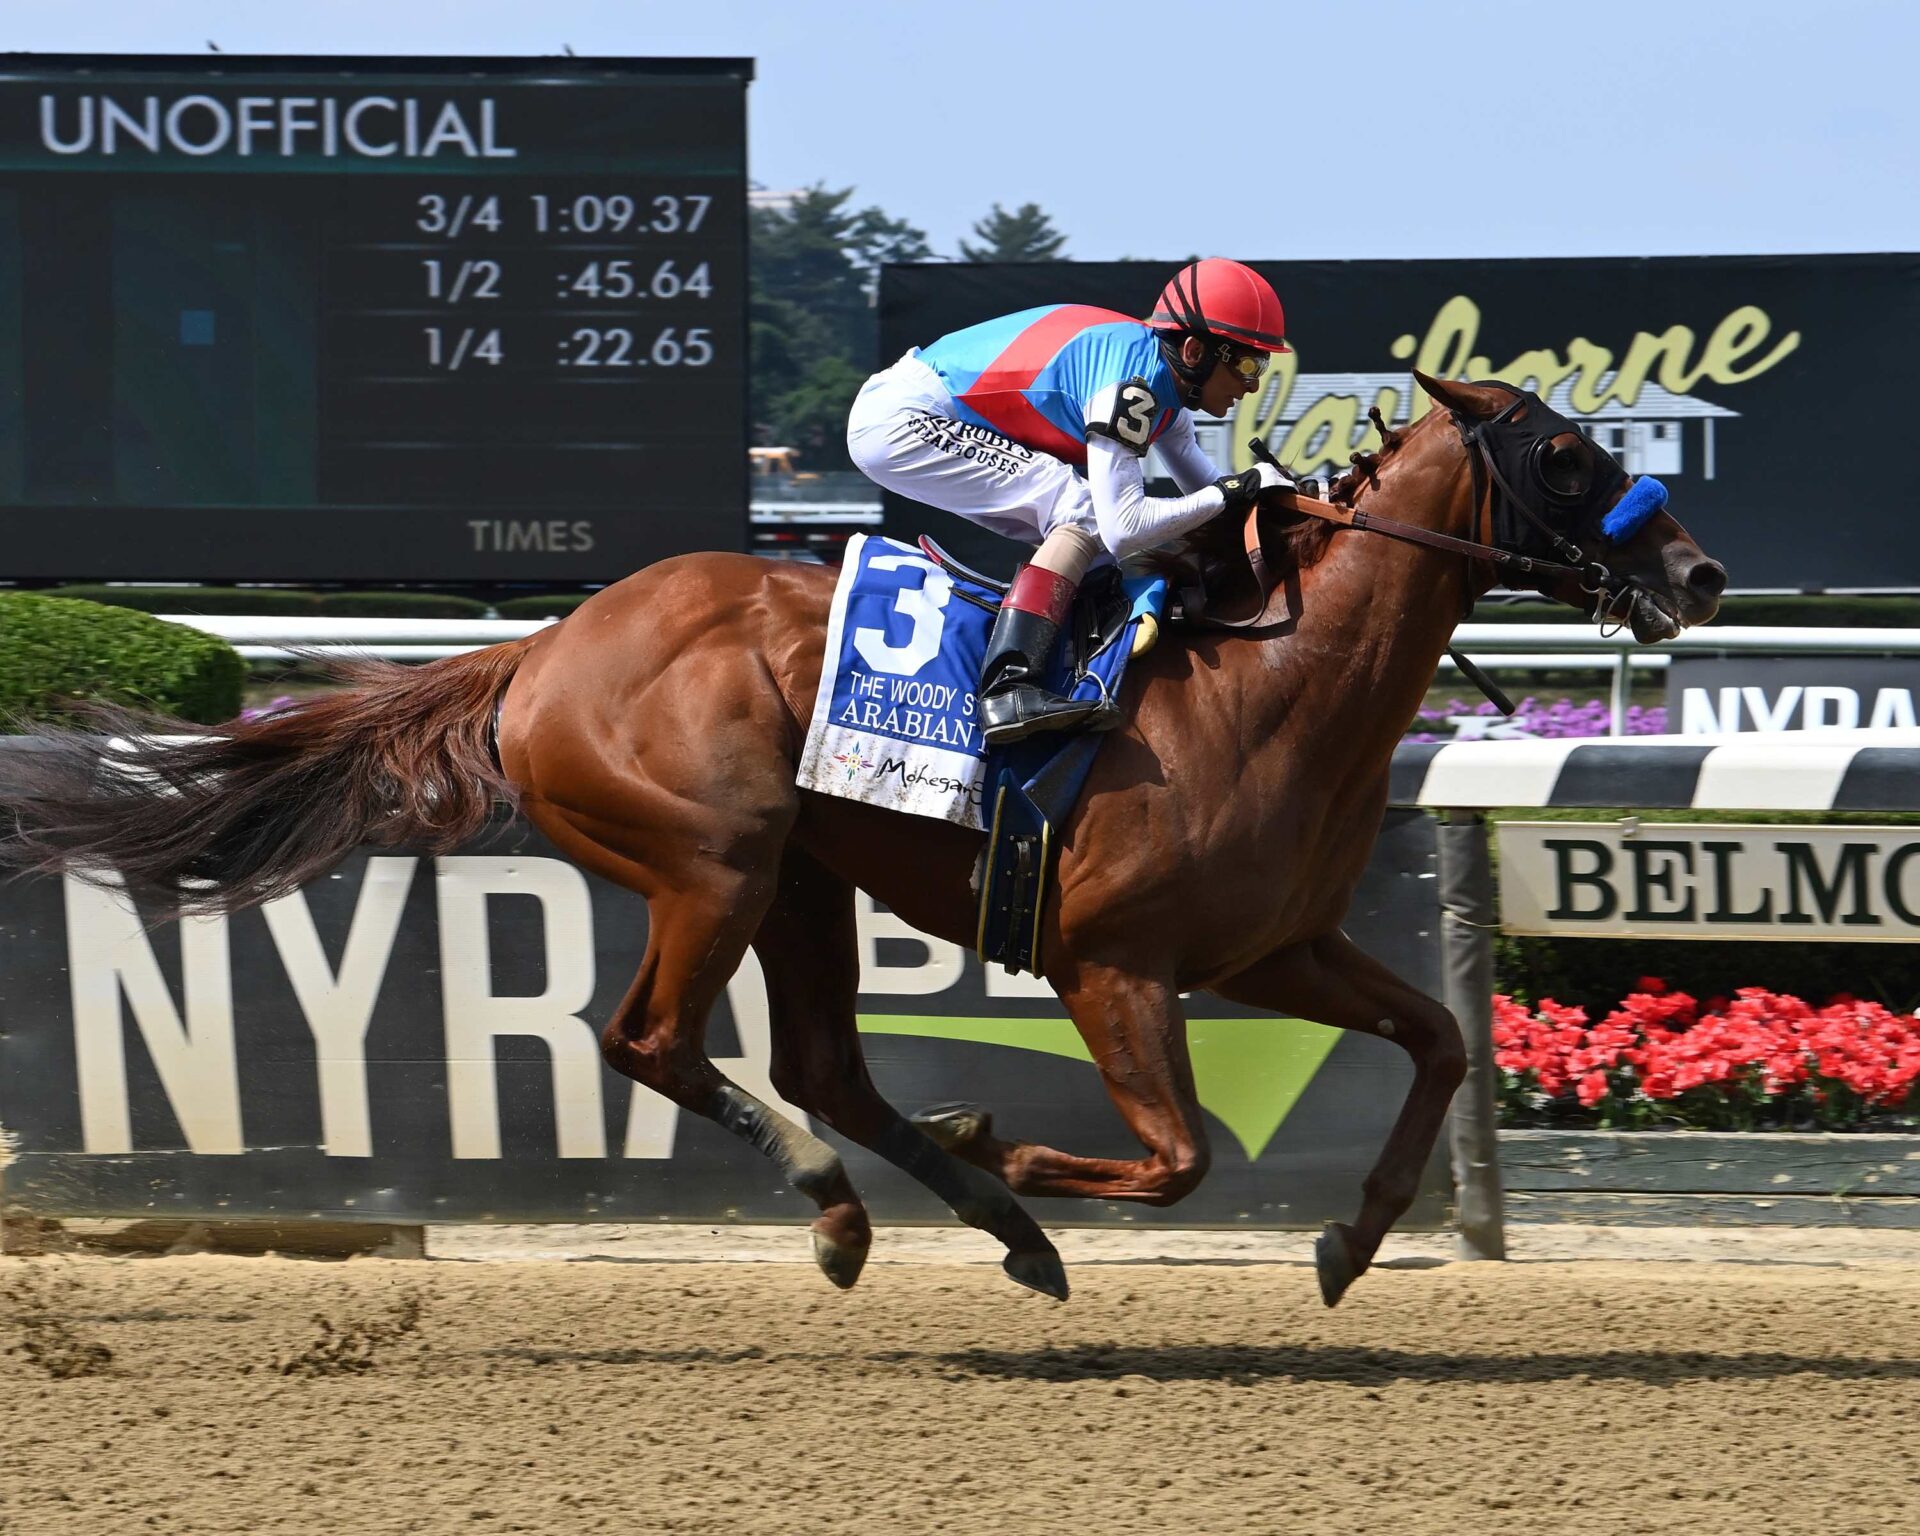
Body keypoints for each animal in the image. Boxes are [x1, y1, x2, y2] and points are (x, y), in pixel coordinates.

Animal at [0, 372, 1725, 1306]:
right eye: (1564, 454)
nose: (1700, 575)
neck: (1268, 679)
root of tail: (545, 646)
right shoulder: (1111, 964)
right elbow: (1176, 1158)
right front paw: (1007, 1144)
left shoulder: (1281, 946)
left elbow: (1441, 1042)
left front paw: (1352, 1241)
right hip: (717, 857)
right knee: (653, 1040)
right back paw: (863, 1205)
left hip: (807, 881)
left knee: (822, 1062)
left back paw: (983, 1222)